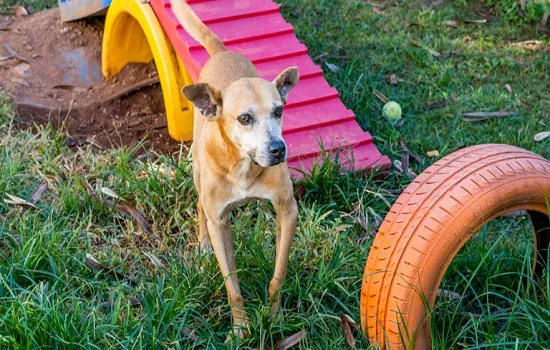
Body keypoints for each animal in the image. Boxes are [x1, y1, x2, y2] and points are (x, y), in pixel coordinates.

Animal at [172, 0, 302, 340]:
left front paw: (273, 316)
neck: (244, 165)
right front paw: (241, 327)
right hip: (198, 175)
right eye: (245, 118)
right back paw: (203, 246)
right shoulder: (220, 222)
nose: (278, 149)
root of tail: (222, 53)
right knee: (199, 206)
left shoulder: (287, 211)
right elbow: (232, 285)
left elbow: (278, 274)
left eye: (279, 111)